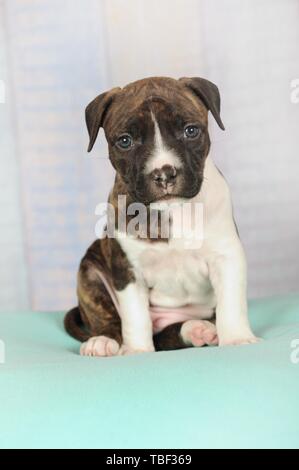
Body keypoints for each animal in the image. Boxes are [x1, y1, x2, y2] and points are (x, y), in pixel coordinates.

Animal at [64, 76, 258, 356]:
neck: (171, 211)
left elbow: (230, 303)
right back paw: (103, 341)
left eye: (191, 131)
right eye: (125, 141)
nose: (164, 173)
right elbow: (135, 316)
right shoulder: (128, 270)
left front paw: (236, 338)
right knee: (111, 320)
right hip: (89, 273)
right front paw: (137, 350)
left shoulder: (226, 256)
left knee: (171, 334)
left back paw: (200, 329)